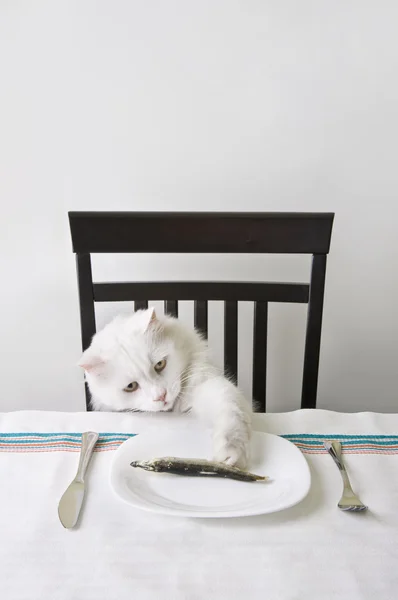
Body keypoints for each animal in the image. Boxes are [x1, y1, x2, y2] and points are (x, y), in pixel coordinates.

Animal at [79, 310, 250, 468]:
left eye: (160, 364)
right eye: (131, 386)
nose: (161, 395)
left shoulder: (208, 386)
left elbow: (230, 413)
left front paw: (230, 452)